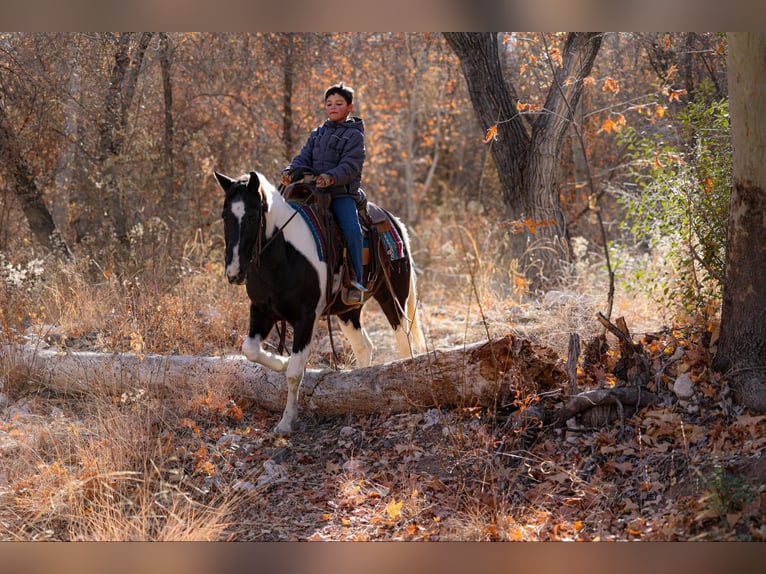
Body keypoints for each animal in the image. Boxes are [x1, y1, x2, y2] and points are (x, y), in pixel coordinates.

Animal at [214, 171, 426, 436]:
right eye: (225, 216)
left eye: (253, 216)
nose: (234, 273)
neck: (282, 257)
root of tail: (393, 221)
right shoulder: (261, 311)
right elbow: (250, 350)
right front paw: (281, 362)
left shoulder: (306, 318)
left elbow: (295, 373)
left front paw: (286, 422)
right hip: (348, 311)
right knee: (364, 347)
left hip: (393, 297)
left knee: (403, 340)